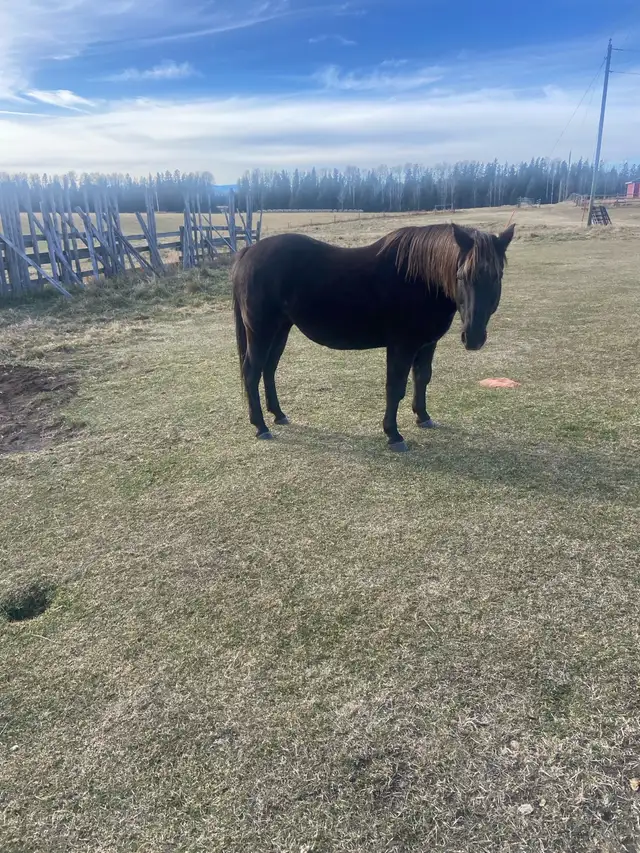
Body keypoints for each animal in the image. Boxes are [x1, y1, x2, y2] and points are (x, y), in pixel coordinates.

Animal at [231, 221, 515, 451]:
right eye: (462, 275)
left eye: (497, 276)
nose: (474, 337)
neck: (421, 277)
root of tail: (248, 252)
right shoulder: (402, 346)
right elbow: (395, 387)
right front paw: (393, 434)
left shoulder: (427, 344)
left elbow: (422, 378)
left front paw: (423, 416)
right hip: (261, 331)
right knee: (252, 372)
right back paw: (261, 426)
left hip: (281, 329)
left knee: (269, 370)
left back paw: (278, 415)